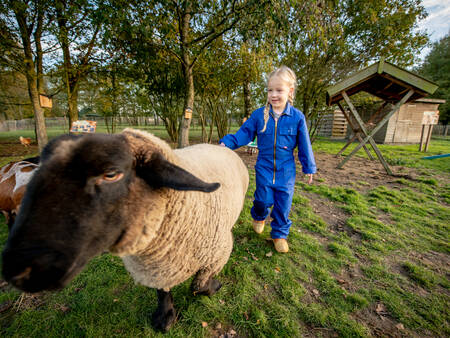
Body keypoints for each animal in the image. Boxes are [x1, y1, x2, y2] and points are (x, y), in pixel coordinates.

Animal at [1, 128, 250, 332]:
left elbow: (198, 287)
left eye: (111, 174)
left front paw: (214, 286)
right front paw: (165, 317)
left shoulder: (217, 254)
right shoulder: (156, 266)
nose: (19, 268)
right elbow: (163, 291)